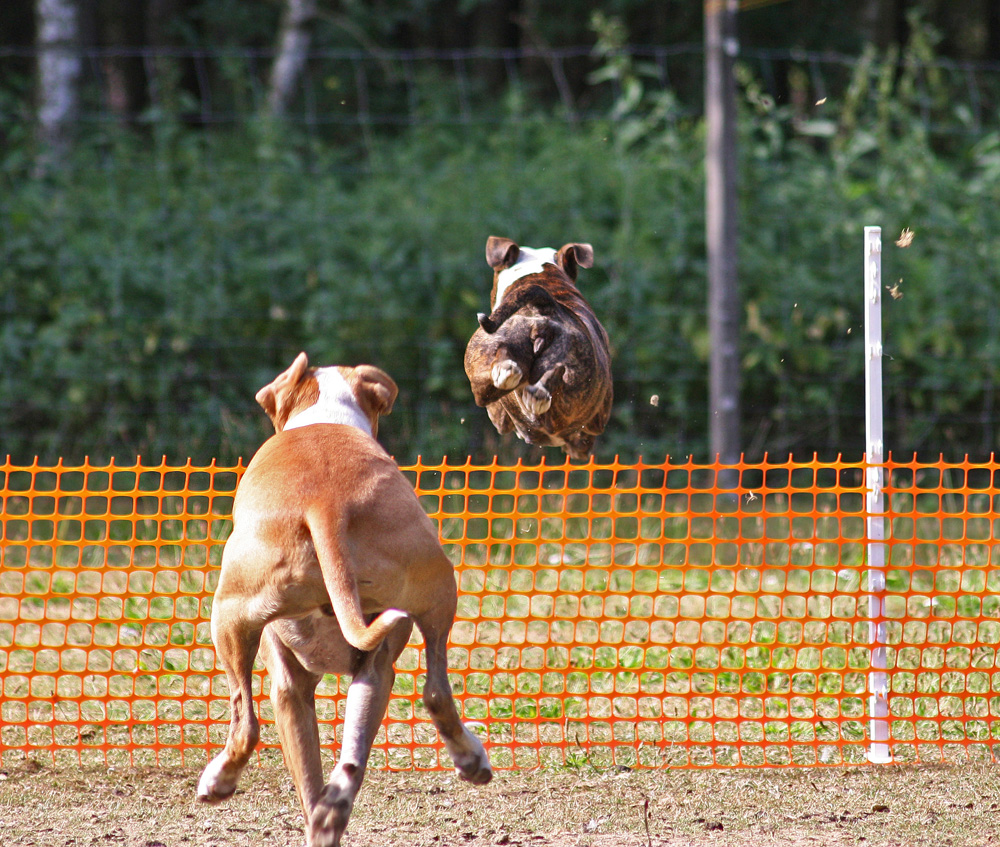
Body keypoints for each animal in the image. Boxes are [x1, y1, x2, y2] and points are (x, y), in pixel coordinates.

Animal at [195, 350, 492, 840]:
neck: (326, 415)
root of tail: (326, 504)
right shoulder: (334, 679)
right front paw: (325, 809)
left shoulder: (287, 683)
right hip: (424, 597)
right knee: (425, 697)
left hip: (228, 617)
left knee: (245, 721)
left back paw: (219, 779)